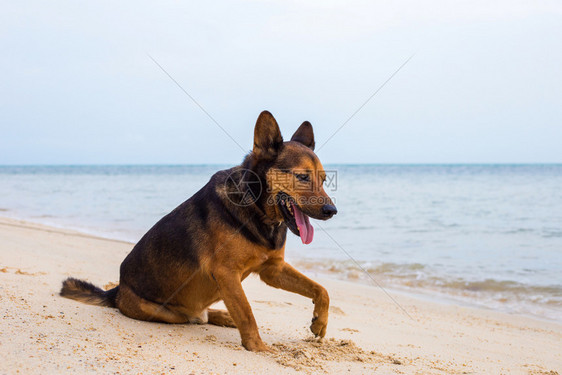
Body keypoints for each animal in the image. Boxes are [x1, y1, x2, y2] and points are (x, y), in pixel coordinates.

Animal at [60, 111, 336, 352]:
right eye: (302, 177)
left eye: (324, 179)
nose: (332, 211)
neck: (256, 207)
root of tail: (117, 292)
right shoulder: (226, 273)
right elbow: (247, 314)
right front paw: (259, 348)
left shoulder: (273, 270)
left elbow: (322, 290)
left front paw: (320, 323)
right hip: (166, 312)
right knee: (196, 317)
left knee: (204, 314)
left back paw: (223, 315)